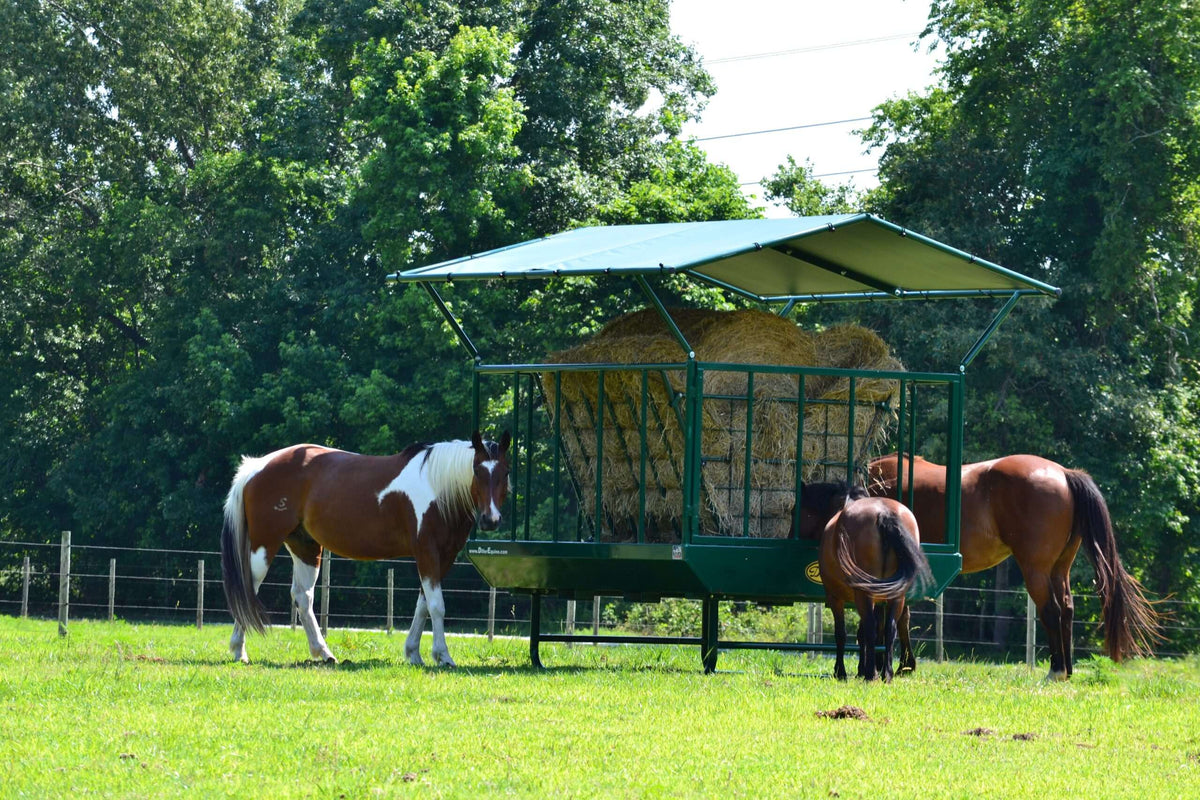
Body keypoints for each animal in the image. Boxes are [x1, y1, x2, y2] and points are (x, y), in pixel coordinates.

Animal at [220, 431, 511, 666]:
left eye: (505, 472)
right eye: (477, 471)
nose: (491, 519)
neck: (438, 488)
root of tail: (257, 466)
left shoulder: (445, 556)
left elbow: (423, 605)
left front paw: (413, 654)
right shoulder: (427, 553)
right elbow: (437, 605)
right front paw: (443, 656)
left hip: (305, 547)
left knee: (303, 596)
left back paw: (323, 653)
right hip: (264, 546)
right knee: (249, 590)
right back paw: (239, 651)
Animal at [801, 482, 932, 682]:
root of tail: (885, 514)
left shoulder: (835, 597)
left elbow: (842, 633)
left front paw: (841, 671)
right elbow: (864, 633)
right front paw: (861, 669)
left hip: (864, 593)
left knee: (871, 627)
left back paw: (872, 674)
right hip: (895, 596)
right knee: (889, 628)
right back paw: (886, 673)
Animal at [868, 454, 1161, 680]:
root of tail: (1064, 473)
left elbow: (894, 615)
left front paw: (898, 664)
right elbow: (899, 615)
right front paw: (903, 664)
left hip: (1035, 569)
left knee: (1051, 610)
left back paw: (1056, 670)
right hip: (1060, 569)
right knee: (1067, 608)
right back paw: (1067, 670)